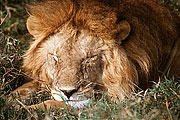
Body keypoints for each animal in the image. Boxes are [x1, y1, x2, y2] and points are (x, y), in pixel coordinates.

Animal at [8, 0, 180, 110]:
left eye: (89, 59)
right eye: (55, 58)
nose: (67, 92)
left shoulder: (116, 100)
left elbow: (54, 104)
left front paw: (26, 110)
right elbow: (26, 88)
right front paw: (8, 101)